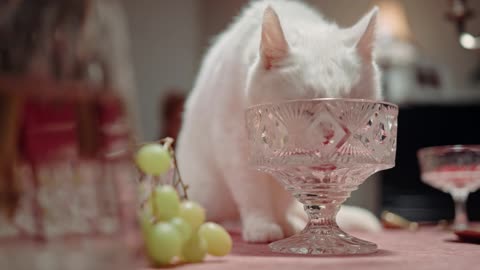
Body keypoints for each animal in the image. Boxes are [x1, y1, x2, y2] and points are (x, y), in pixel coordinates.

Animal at [176, 0, 382, 243]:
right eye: (305, 107)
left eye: (349, 106)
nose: (331, 134)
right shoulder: (235, 146)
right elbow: (252, 194)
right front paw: (262, 226)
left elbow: (286, 196)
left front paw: (286, 224)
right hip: (208, 193)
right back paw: (235, 224)